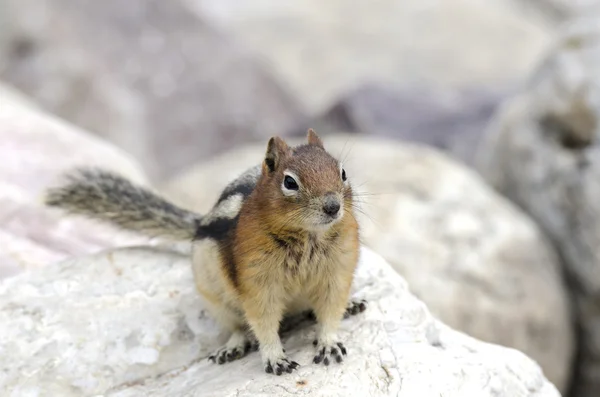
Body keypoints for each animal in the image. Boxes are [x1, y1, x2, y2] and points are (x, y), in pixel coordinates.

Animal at [44, 129, 366, 374]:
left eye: (343, 172)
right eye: (290, 182)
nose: (333, 206)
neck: (308, 238)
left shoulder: (337, 273)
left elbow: (330, 311)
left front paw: (329, 342)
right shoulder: (259, 284)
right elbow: (263, 323)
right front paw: (275, 358)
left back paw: (352, 304)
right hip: (214, 296)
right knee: (236, 325)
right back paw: (232, 347)